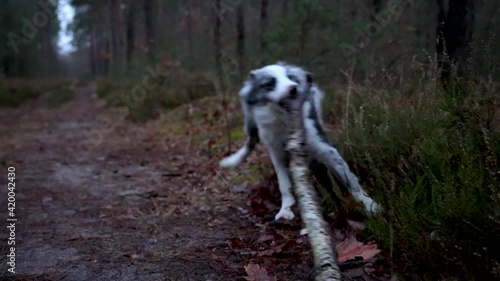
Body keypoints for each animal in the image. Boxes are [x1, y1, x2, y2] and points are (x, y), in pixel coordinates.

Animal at [219, 62, 378, 220]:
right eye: (269, 83)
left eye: (290, 78)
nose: (294, 88)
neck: (284, 122)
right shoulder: (277, 153)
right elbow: (284, 185)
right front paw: (286, 209)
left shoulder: (324, 147)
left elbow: (349, 178)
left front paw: (369, 204)